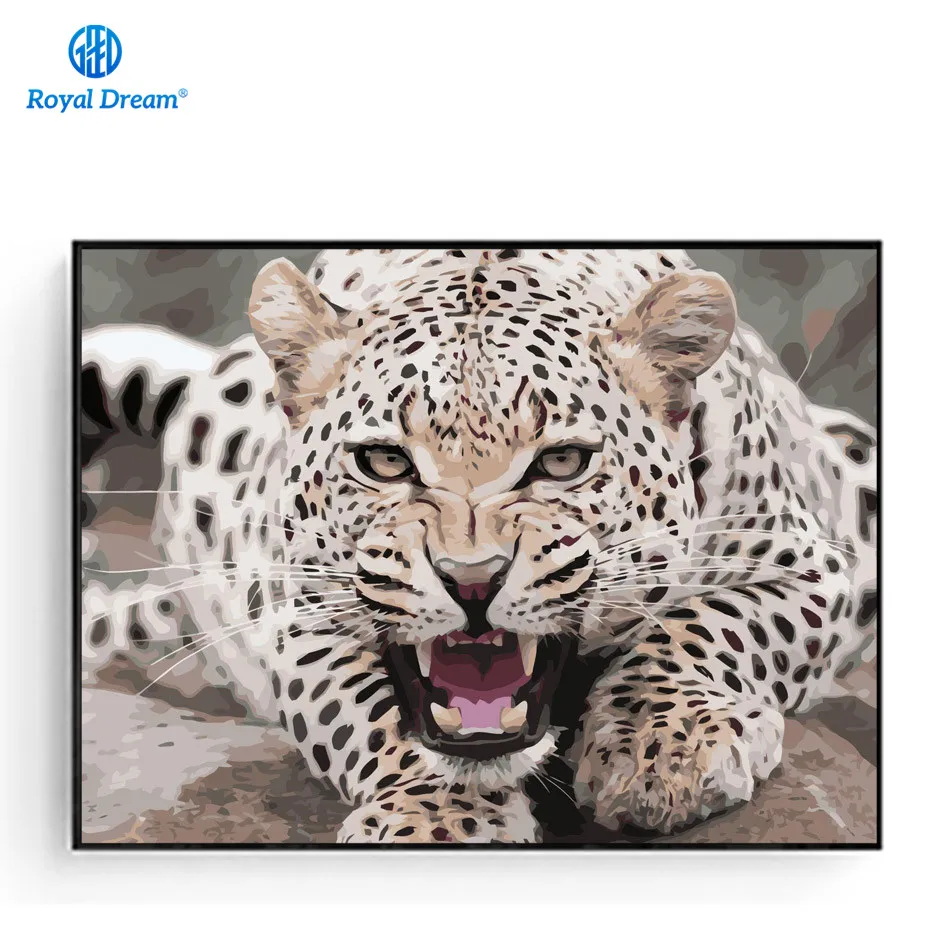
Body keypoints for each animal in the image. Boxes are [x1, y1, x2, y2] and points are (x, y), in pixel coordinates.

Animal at [80, 248, 878, 843]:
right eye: (385, 462)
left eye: (562, 462)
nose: (472, 580)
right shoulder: (296, 612)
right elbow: (367, 713)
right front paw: (440, 818)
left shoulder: (810, 564)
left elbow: (705, 627)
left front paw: (662, 749)